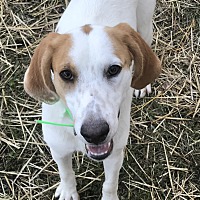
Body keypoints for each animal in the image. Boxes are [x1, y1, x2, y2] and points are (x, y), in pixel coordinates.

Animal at [23, 0, 161, 199]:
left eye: (113, 69)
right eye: (66, 74)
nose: (95, 133)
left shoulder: (115, 153)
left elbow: (110, 184)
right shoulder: (58, 149)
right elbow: (66, 173)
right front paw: (68, 191)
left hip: (145, 25)